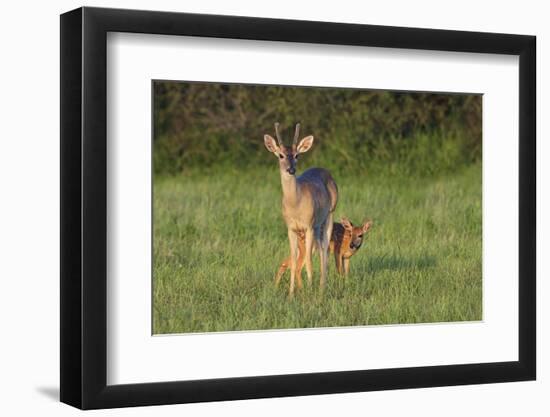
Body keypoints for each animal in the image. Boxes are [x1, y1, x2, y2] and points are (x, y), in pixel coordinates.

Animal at [266, 122, 338, 294]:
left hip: (329, 214)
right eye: (281, 155)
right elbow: (293, 260)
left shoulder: (308, 225)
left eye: (297, 155)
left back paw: (322, 288)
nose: (291, 170)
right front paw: (292, 294)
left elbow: (309, 261)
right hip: (317, 225)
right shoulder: (291, 228)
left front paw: (310, 292)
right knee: (321, 249)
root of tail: (325, 170)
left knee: (324, 249)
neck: (295, 205)